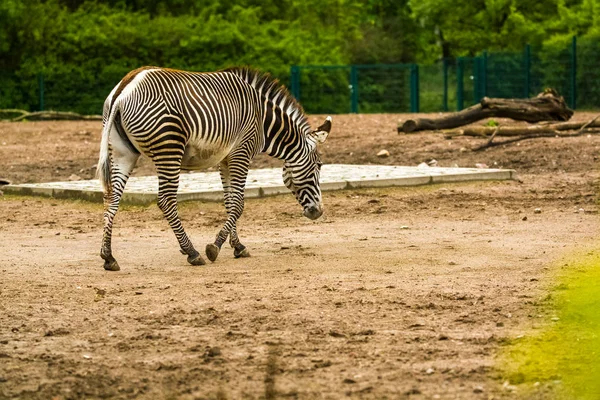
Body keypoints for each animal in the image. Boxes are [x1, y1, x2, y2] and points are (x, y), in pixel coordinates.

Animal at [97, 66, 332, 272]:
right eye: (319, 166)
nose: (318, 212)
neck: (263, 121)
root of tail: (125, 86)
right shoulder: (241, 152)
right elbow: (238, 204)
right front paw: (215, 247)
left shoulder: (226, 159)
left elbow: (229, 202)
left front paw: (238, 246)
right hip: (169, 148)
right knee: (165, 200)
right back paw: (192, 252)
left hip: (122, 152)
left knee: (112, 197)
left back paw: (108, 257)